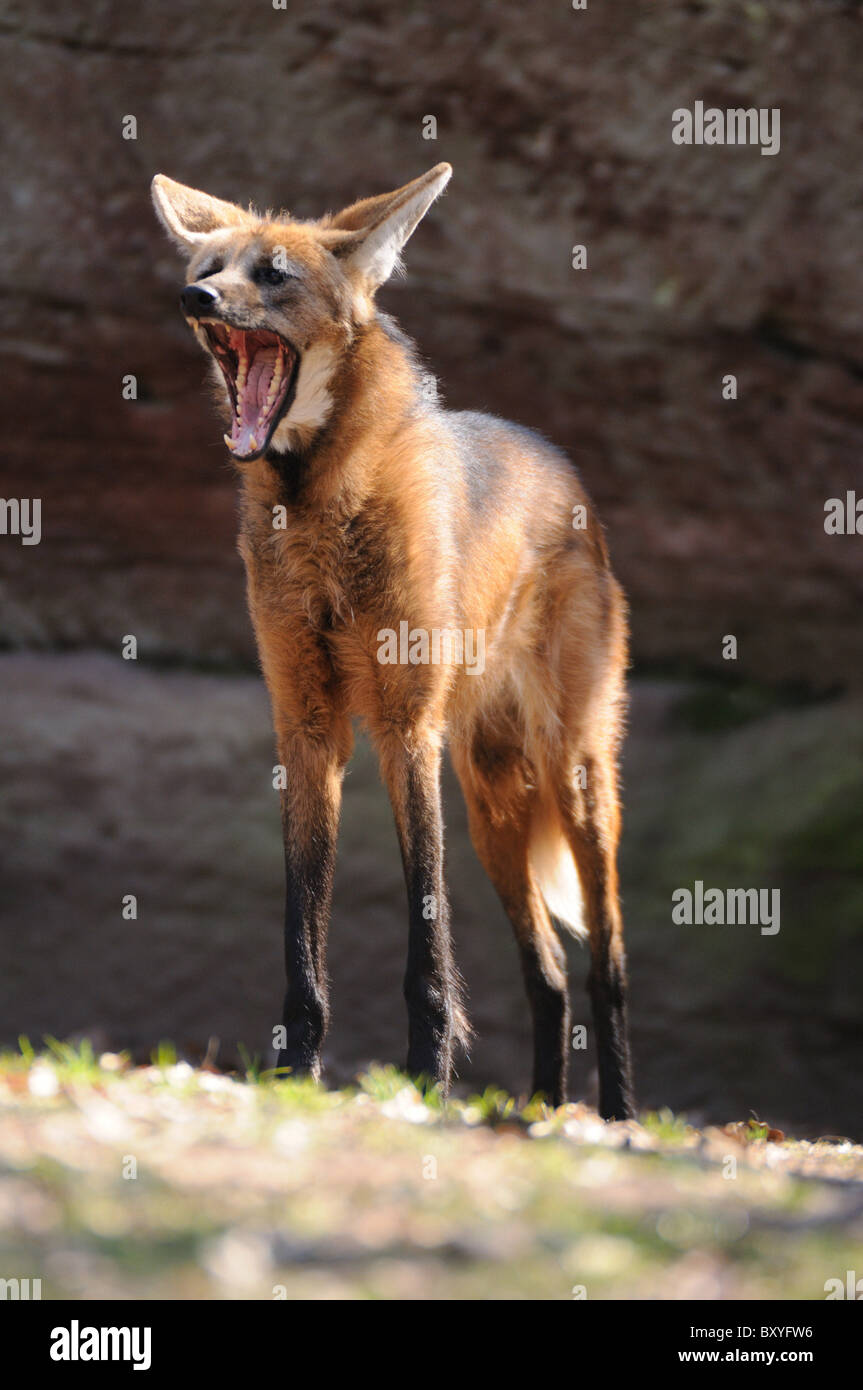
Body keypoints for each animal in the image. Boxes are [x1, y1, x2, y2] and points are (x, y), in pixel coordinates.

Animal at [150, 162, 633, 1117]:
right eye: (211, 266)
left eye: (272, 276)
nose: (193, 297)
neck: (319, 503)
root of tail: (566, 475)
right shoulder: (308, 731)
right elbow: (303, 933)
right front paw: (296, 1076)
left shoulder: (406, 730)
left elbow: (427, 943)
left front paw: (424, 1083)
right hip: (492, 803)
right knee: (549, 972)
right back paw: (541, 1113)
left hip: (573, 774)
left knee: (605, 962)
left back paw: (619, 1118)